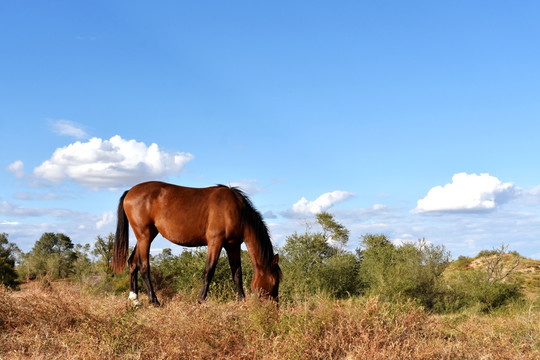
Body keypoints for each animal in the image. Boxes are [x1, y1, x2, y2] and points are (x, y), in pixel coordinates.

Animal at [113, 181, 282, 306]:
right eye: (275, 281)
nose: (275, 306)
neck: (237, 211)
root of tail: (130, 191)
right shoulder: (215, 242)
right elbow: (209, 271)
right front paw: (201, 299)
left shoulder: (233, 245)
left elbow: (237, 273)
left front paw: (241, 300)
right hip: (145, 236)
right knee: (143, 266)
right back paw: (154, 301)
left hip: (146, 236)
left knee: (132, 262)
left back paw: (134, 299)